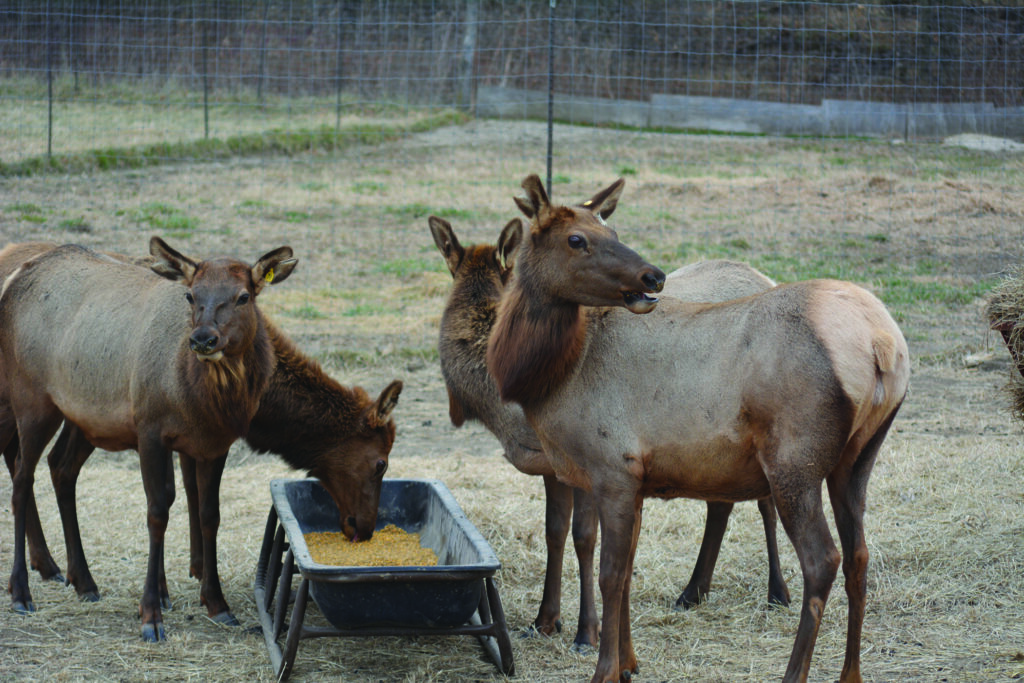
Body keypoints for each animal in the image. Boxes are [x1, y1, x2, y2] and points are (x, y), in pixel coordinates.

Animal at [429, 216, 789, 648]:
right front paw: (545, 620)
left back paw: (777, 592)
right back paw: (692, 591)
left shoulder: (593, 455)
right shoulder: (553, 463)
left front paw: (588, 631)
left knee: (765, 502)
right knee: (720, 502)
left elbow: (584, 537)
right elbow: (554, 532)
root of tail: (766, 277)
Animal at [485, 175, 909, 683]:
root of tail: (881, 343)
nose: (653, 276)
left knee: (822, 559)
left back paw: (793, 672)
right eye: (577, 239)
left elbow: (611, 575)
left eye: (608, 230)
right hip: (857, 458)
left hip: (795, 461)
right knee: (859, 555)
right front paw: (630, 662)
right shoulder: (637, 479)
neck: (550, 378)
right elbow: (627, 573)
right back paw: (851, 674)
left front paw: (605, 669)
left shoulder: (611, 469)